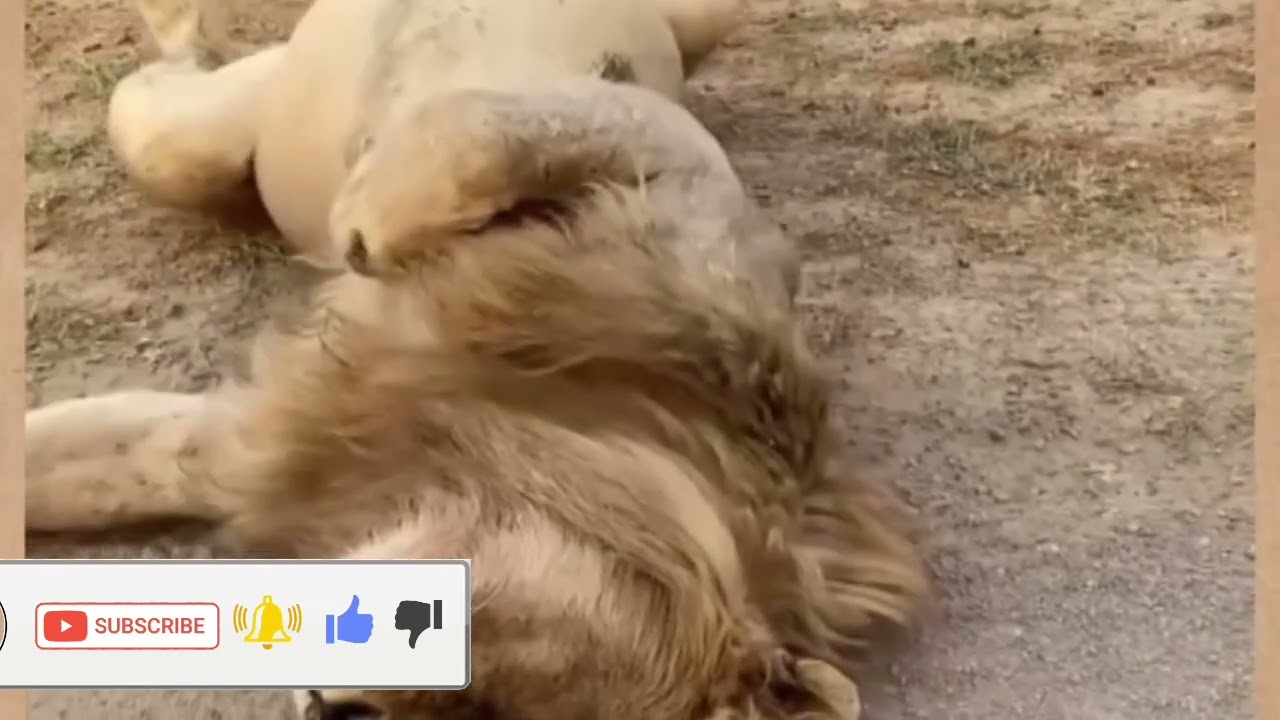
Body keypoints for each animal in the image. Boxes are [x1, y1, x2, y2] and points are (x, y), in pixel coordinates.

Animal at [26, 55, 930, 720]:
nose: (330, 710)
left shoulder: (236, 450)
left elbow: (78, 458)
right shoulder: (702, 239)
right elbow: (544, 129)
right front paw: (366, 222)